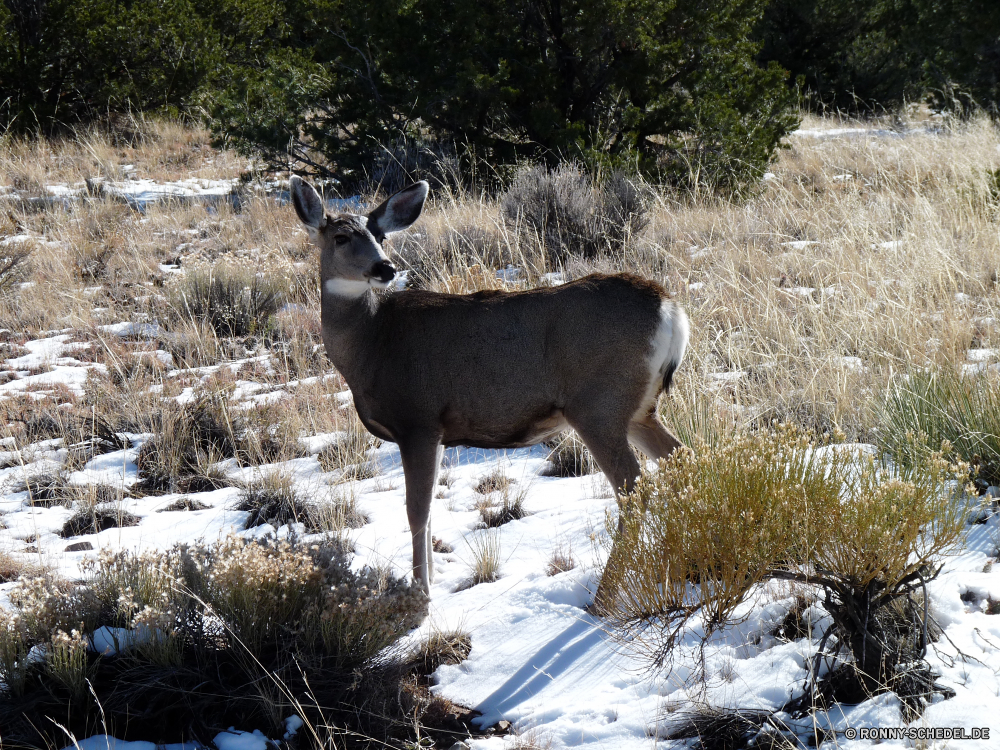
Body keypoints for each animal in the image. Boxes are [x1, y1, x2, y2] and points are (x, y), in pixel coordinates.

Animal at [290, 176, 688, 600]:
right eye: (341, 237)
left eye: (379, 235)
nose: (385, 267)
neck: (372, 342)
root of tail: (670, 308)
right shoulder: (435, 433)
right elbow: (428, 509)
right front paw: (431, 581)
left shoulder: (418, 420)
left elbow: (417, 512)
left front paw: (422, 593)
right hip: (639, 409)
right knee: (683, 456)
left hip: (598, 405)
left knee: (634, 488)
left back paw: (602, 597)